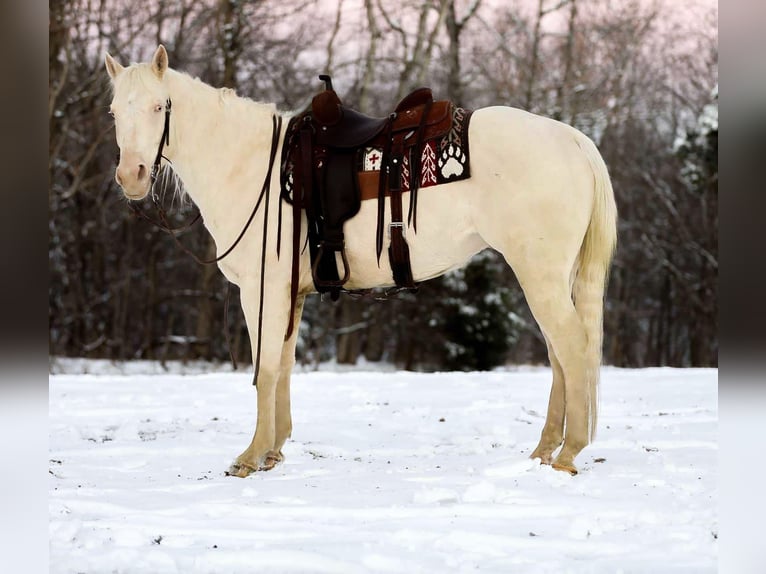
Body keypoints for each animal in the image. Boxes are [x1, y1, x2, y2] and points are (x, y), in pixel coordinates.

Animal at [104, 45, 617, 477]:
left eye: (159, 107)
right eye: (114, 111)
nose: (131, 176)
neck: (250, 167)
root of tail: (571, 139)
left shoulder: (262, 289)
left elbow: (265, 368)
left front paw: (250, 457)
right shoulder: (291, 292)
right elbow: (284, 365)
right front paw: (274, 451)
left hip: (540, 275)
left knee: (572, 347)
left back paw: (567, 454)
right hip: (550, 277)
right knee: (559, 355)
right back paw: (544, 450)